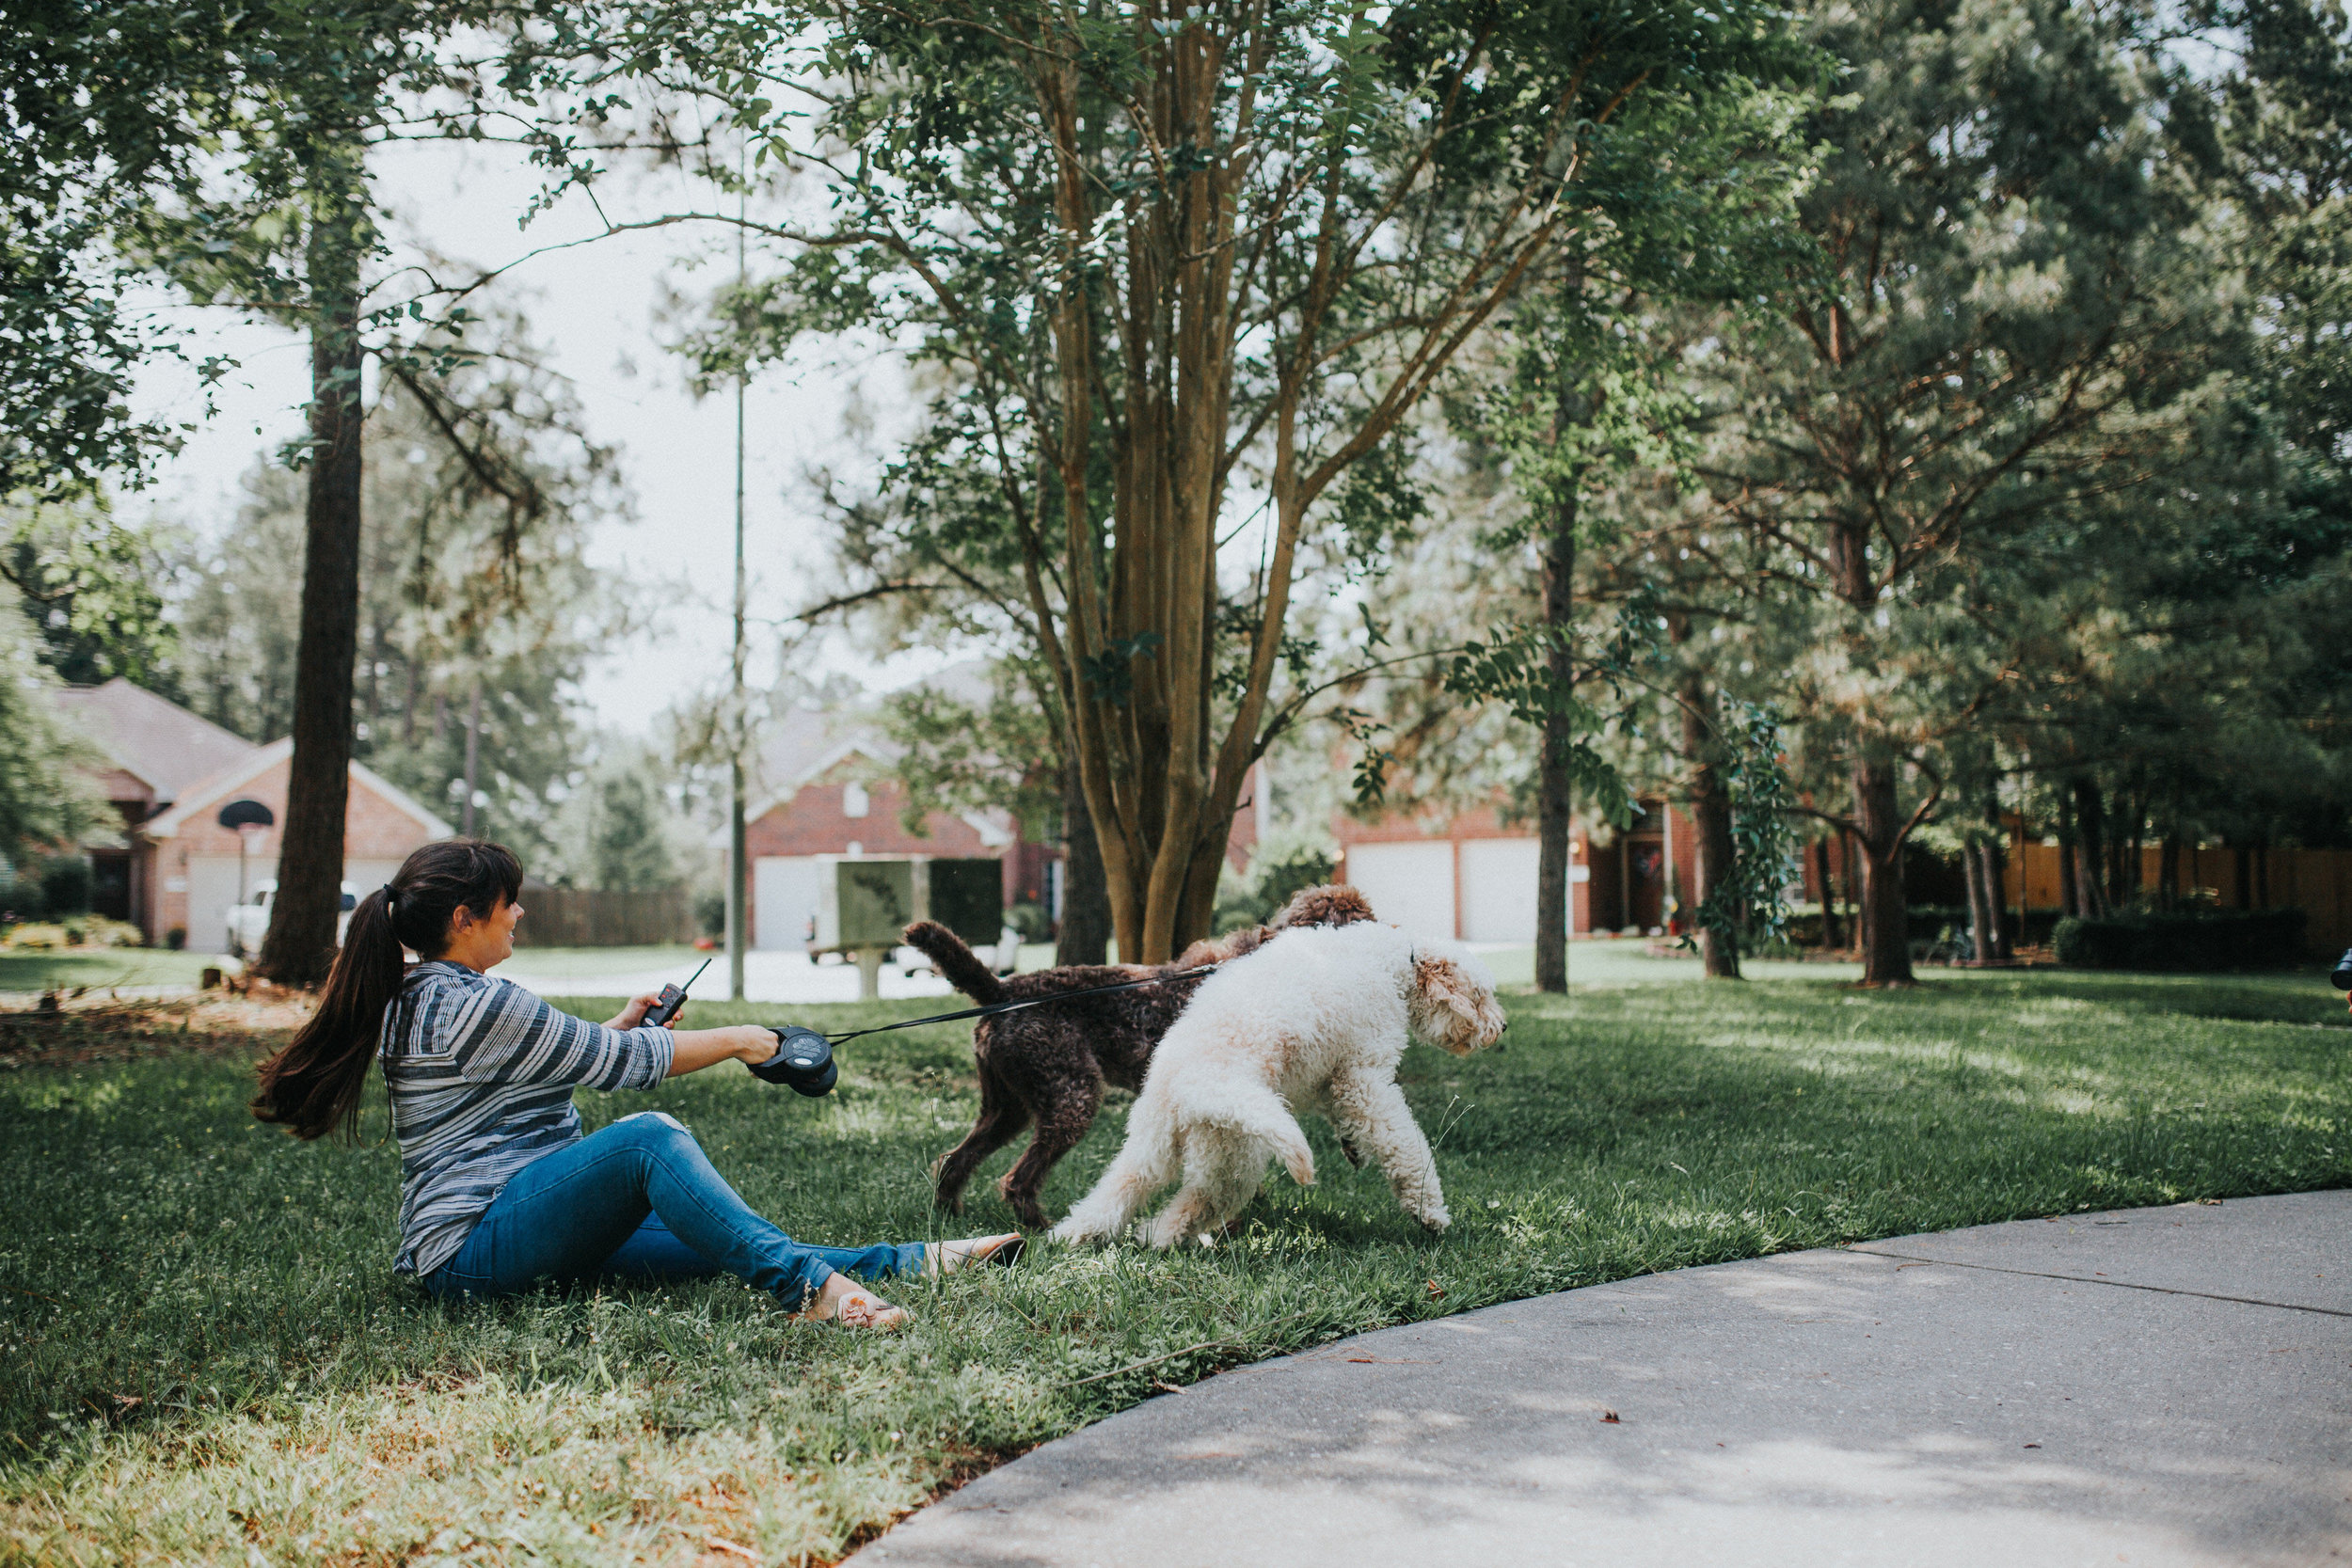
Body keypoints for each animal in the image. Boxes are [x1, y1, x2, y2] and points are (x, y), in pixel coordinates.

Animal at [1054, 921, 1505, 1250]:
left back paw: (1088, 1234)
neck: (1393, 962)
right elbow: (1405, 1145)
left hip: (1155, 1146)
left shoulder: (1331, 1078)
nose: (1501, 1027)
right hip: (1235, 1158)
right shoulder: (1365, 1079)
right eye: (1480, 996)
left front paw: (1352, 1146)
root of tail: (1197, 1087)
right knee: (1194, 1203)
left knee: (1128, 1192)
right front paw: (1428, 1212)